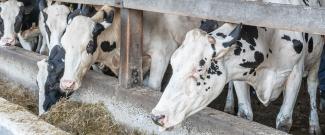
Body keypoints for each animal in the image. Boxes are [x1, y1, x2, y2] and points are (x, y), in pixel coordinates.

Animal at [151, 1, 322, 134]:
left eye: (199, 69)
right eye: (173, 65)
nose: (156, 116)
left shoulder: (295, 74)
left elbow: (284, 121)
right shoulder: (239, 74)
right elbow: (245, 114)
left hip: (317, 60)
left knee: (313, 85)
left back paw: (315, 125)